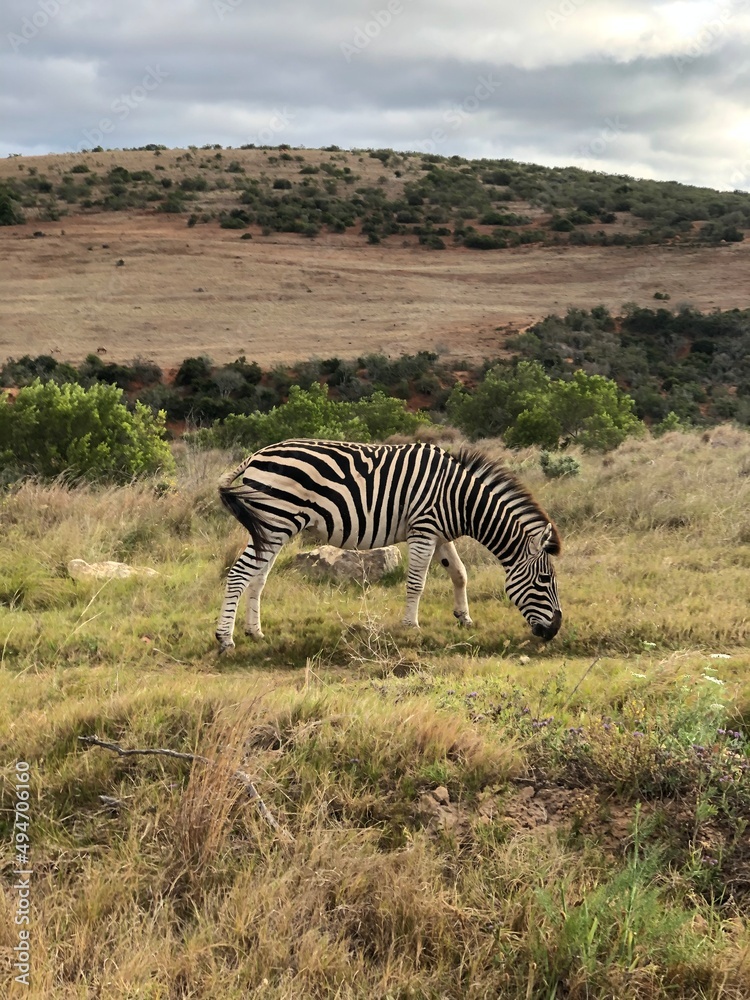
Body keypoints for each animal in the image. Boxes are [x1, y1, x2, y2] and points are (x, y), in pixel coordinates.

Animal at [215, 438, 562, 650]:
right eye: (545, 580)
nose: (554, 631)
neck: (460, 500)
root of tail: (256, 455)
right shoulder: (423, 529)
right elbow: (417, 584)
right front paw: (411, 626)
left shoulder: (439, 533)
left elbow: (460, 573)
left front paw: (464, 618)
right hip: (275, 521)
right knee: (239, 574)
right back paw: (224, 639)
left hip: (272, 528)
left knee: (257, 578)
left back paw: (254, 631)